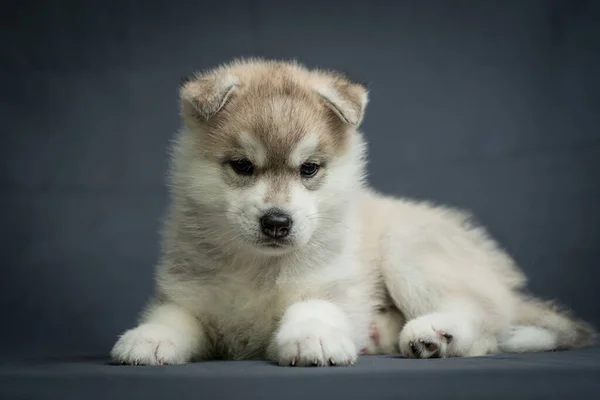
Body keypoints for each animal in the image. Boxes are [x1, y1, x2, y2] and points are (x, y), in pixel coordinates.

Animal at [109, 59, 596, 366]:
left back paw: (432, 335)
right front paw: (147, 339)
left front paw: (314, 338)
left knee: (480, 320)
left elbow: (312, 307)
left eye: (309, 169)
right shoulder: (187, 293)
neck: (261, 270)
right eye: (243, 166)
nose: (277, 222)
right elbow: (172, 318)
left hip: (410, 250)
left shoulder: (335, 285)